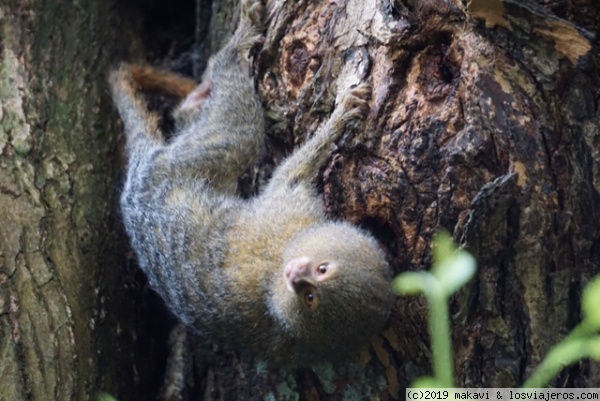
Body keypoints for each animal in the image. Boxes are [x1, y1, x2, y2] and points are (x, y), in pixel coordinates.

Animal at [110, 0, 396, 364]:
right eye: (322, 269)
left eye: (311, 296)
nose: (295, 276)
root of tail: (138, 176)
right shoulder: (287, 212)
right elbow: (293, 170)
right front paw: (342, 116)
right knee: (240, 131)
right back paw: (233, 50)